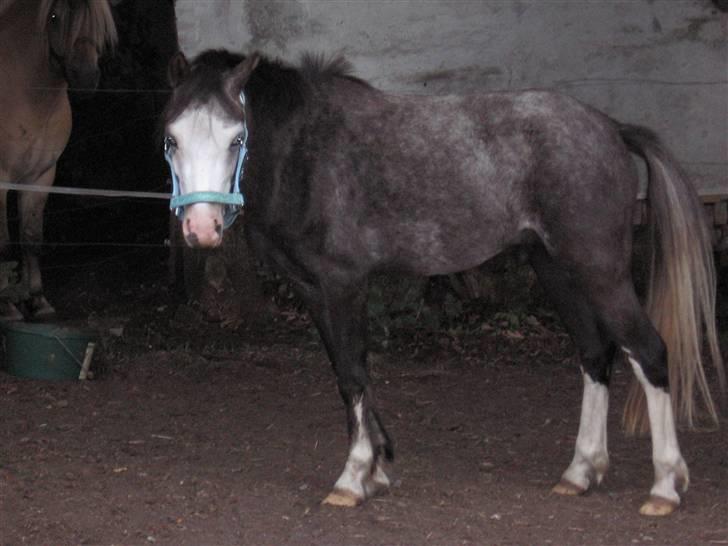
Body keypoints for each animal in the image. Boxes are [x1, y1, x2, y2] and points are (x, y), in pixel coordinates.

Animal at [0, 0, 116, 316]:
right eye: (53, 17)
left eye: (97, 20)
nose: (85, 77)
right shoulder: (1, 180)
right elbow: (2, 241)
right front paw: (7, 306)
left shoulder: (41, 176)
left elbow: (31, 237)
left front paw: (37, 300)